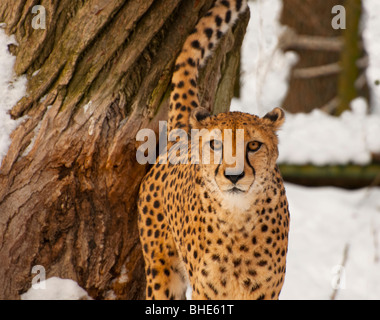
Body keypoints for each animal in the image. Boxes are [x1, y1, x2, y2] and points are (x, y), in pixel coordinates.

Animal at [138, 0, 290, 300]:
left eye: (253, 145)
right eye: (216, 144)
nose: (234, 176)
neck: (237, 218)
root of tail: (183, 136)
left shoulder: (265, 292)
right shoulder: (206, 292)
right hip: (162, 272)